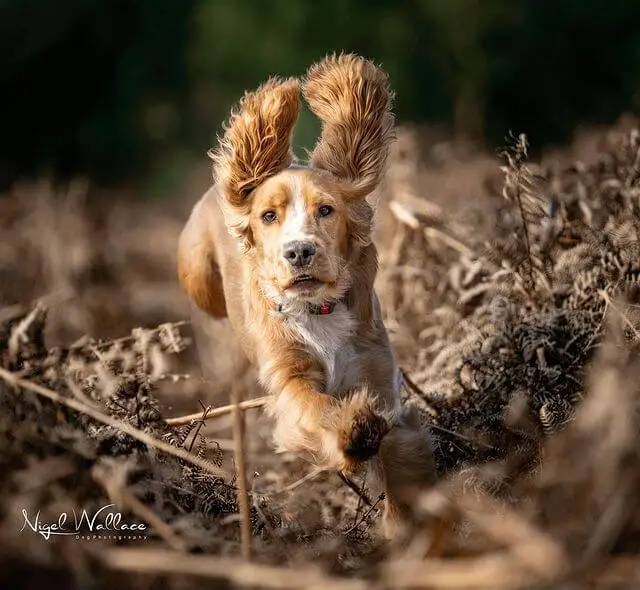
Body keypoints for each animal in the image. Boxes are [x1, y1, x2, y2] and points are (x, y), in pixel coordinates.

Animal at [176, 53, 436, 540]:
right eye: (269, 215)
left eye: (327, 210)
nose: (299, 251)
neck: (319, 310)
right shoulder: (288, 375)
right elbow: (316, 408)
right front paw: (354, 432)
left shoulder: (377, 374)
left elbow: (398, 448)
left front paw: (405, 526)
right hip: (196, 274)